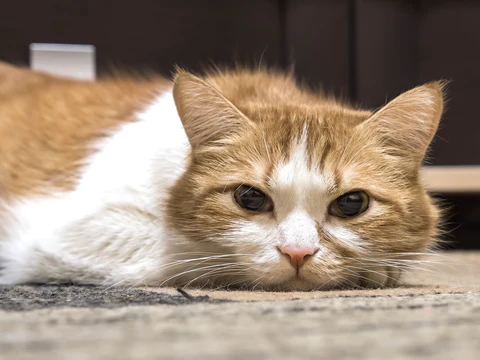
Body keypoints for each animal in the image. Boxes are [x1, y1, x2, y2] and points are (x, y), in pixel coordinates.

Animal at [0, 62, 442, 292]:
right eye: (250, 198)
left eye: (352, 203)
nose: (298, 253)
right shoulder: (74, 232)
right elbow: (195, 257)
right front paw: (373, 271)